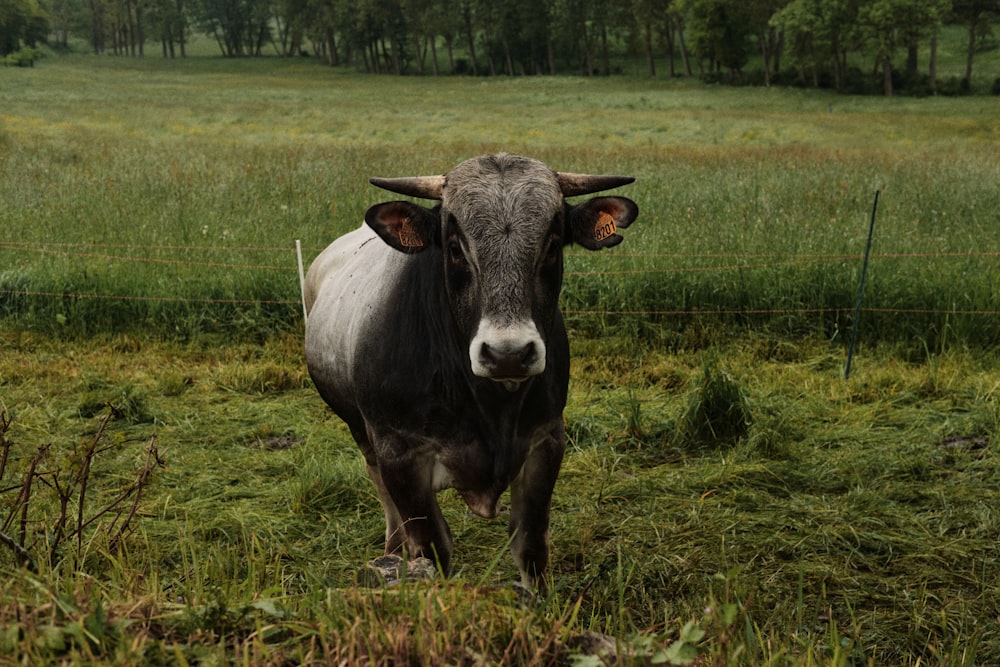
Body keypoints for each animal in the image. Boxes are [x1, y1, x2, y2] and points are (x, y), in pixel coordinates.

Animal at [300, 153, 640, 588]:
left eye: (551, 245)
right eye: (455, 248)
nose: (508, 354)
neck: (488, 405)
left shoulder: (547, 441)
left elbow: (530, 546)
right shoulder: (400, 454)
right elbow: (432, 548)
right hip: (362, 431)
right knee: (381, 489)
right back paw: (393, 548)